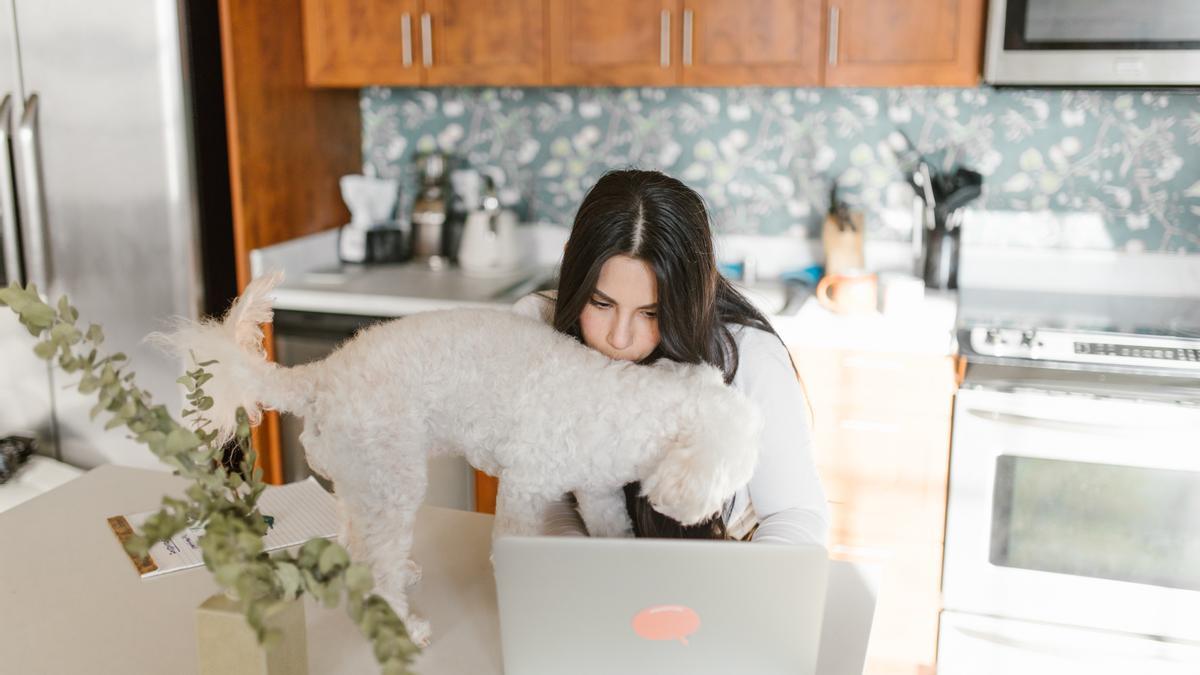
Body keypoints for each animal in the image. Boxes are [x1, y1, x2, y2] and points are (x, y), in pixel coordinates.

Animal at [157, 270, 758, 643]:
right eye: (731, 477)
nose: (717, 510)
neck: (630, 409)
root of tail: (321, 374)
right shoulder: (525, 488)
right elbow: (513, 538)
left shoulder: (599, 493)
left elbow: (614, 532)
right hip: (393, 481)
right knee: (377, 567)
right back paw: (404, 622)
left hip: (364, 476)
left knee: (355, 537)